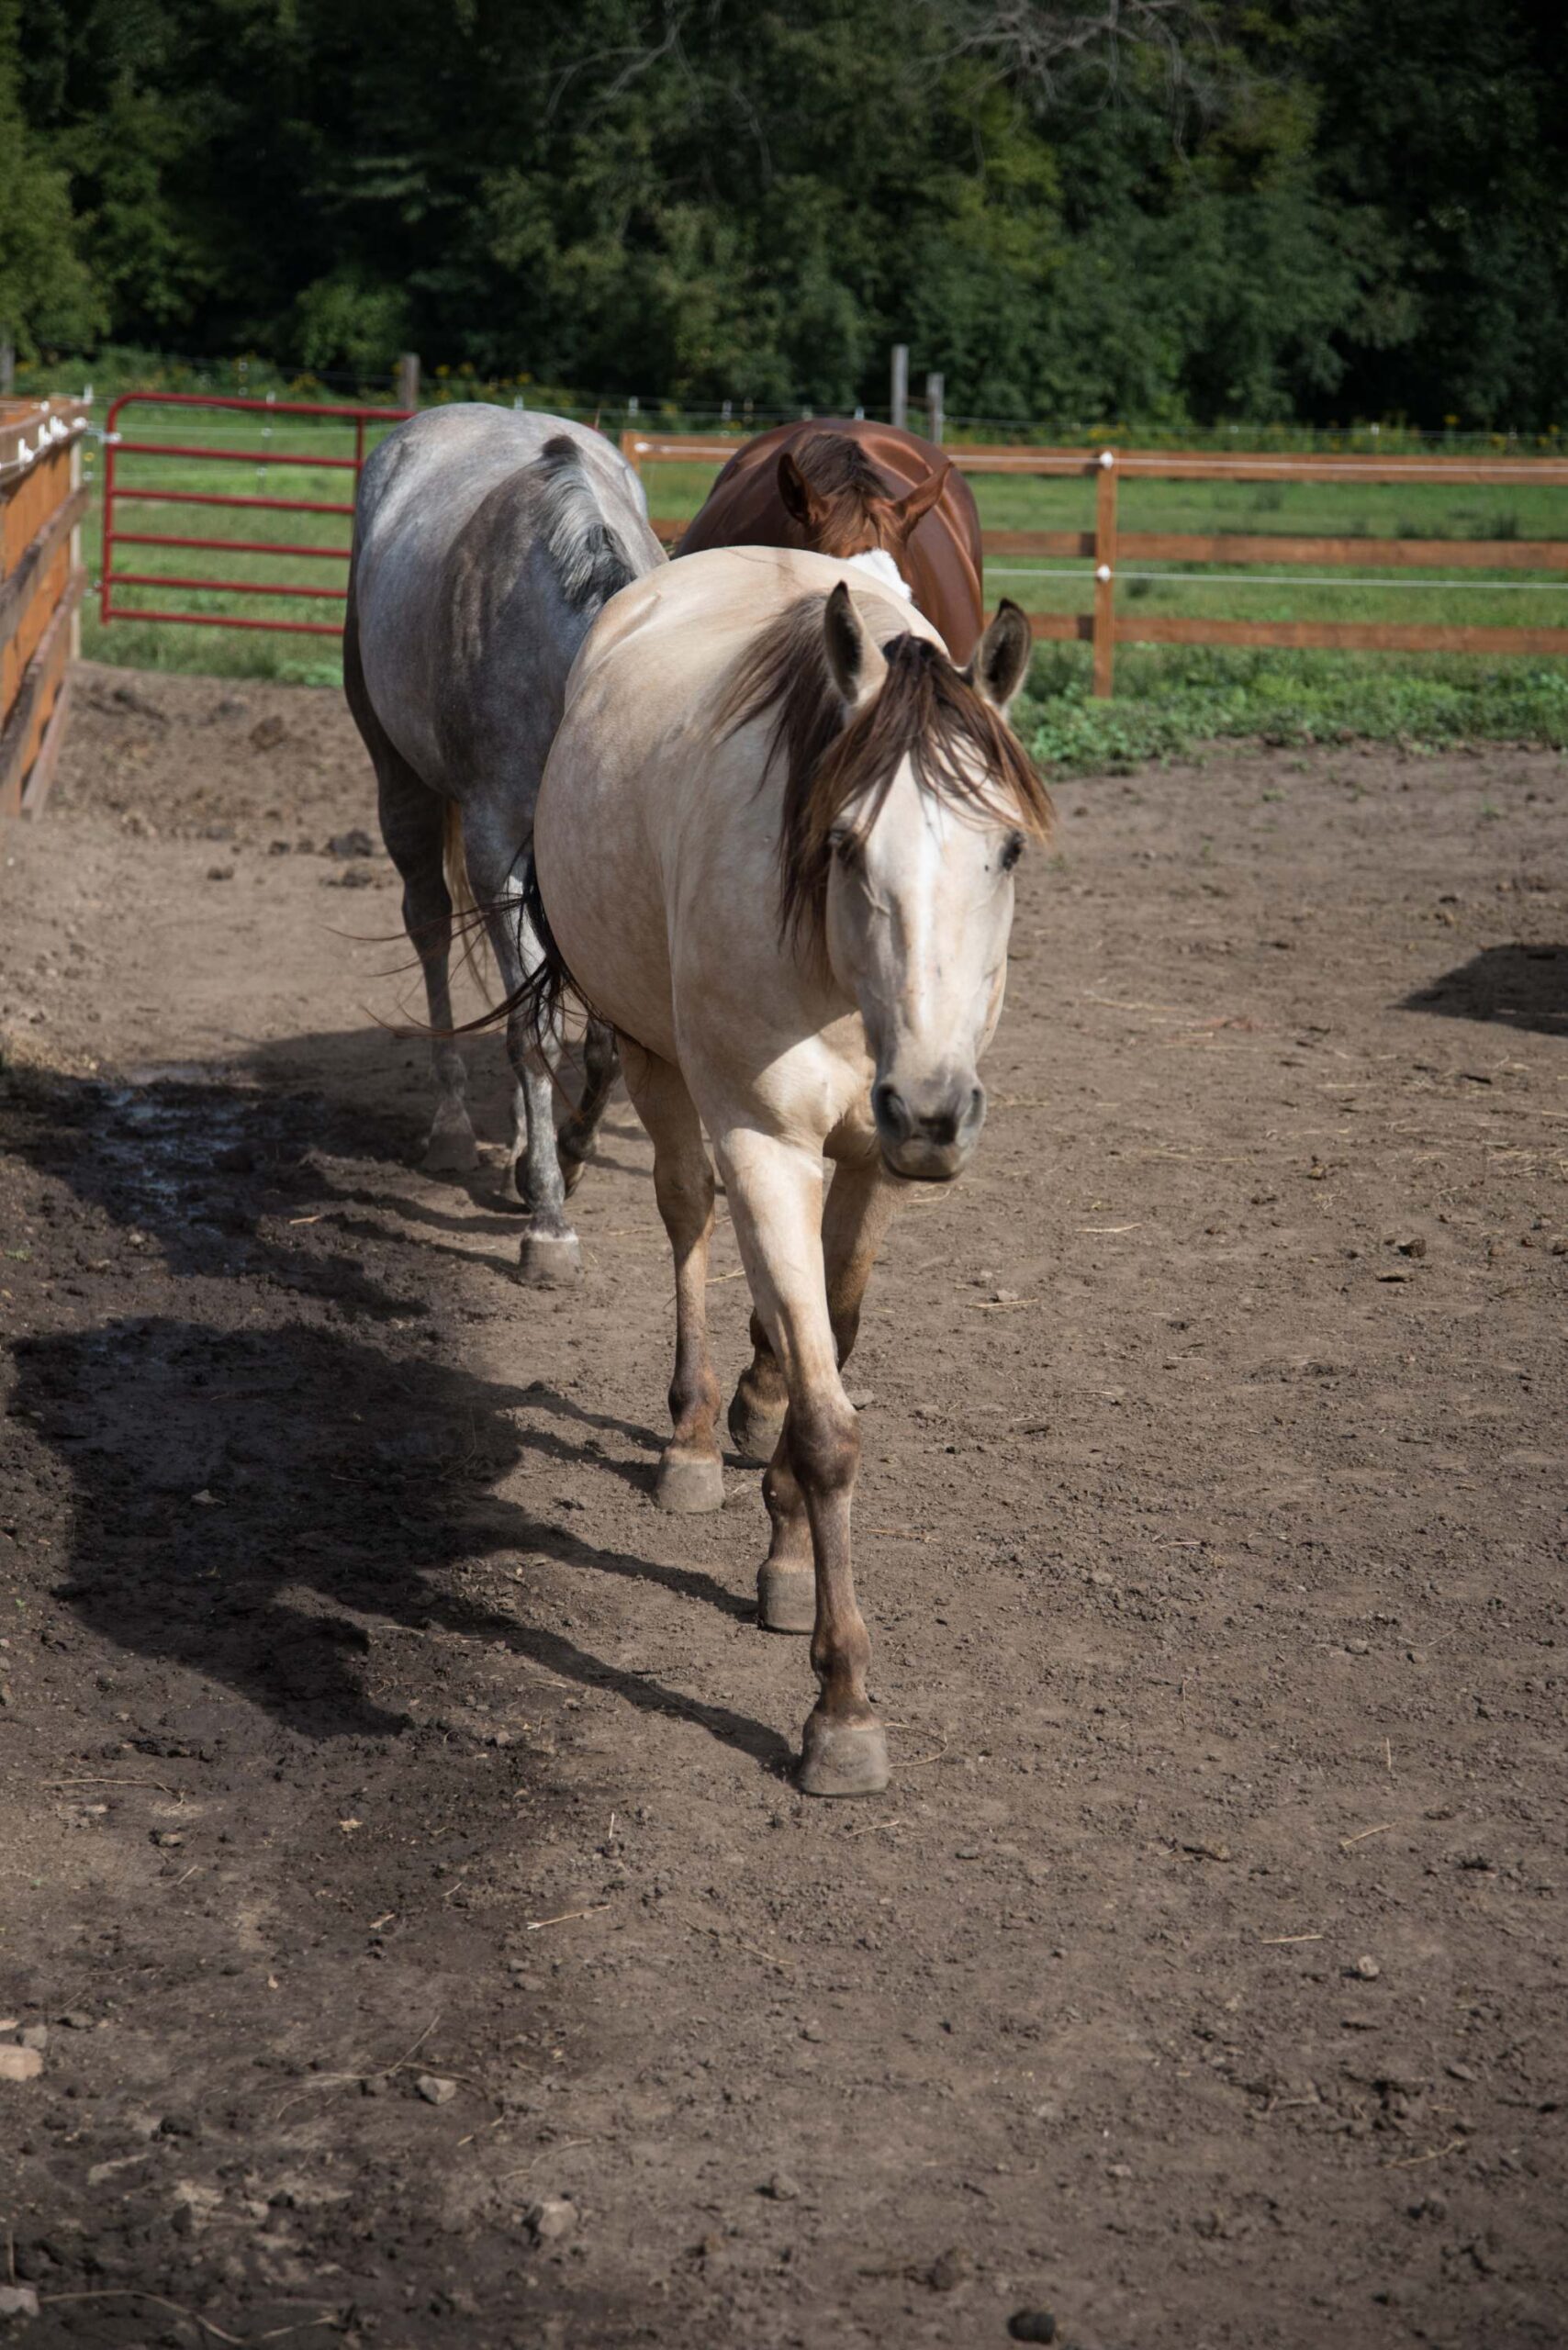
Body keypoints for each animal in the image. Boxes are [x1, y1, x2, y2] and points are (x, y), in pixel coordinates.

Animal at [344, 405, 665, 1283]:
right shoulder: (498, 853)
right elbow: (533, 1033)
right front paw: (549, 1223)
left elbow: (598, 1035)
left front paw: (567, 1155)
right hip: (403, 787)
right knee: (429, 926)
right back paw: (456, 1128)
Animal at [521, 546, 1048, 1794]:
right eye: (844, 844)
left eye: (1005, 847)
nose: (935, 1108)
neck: (839, 977)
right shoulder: (764, 1141)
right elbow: (826, 1426)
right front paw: (841, 1706)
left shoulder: (872, 1164)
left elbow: (829, 1355)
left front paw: (790, 1558)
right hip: (659, 1060)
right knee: (687, 1219)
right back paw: (692, 1440)